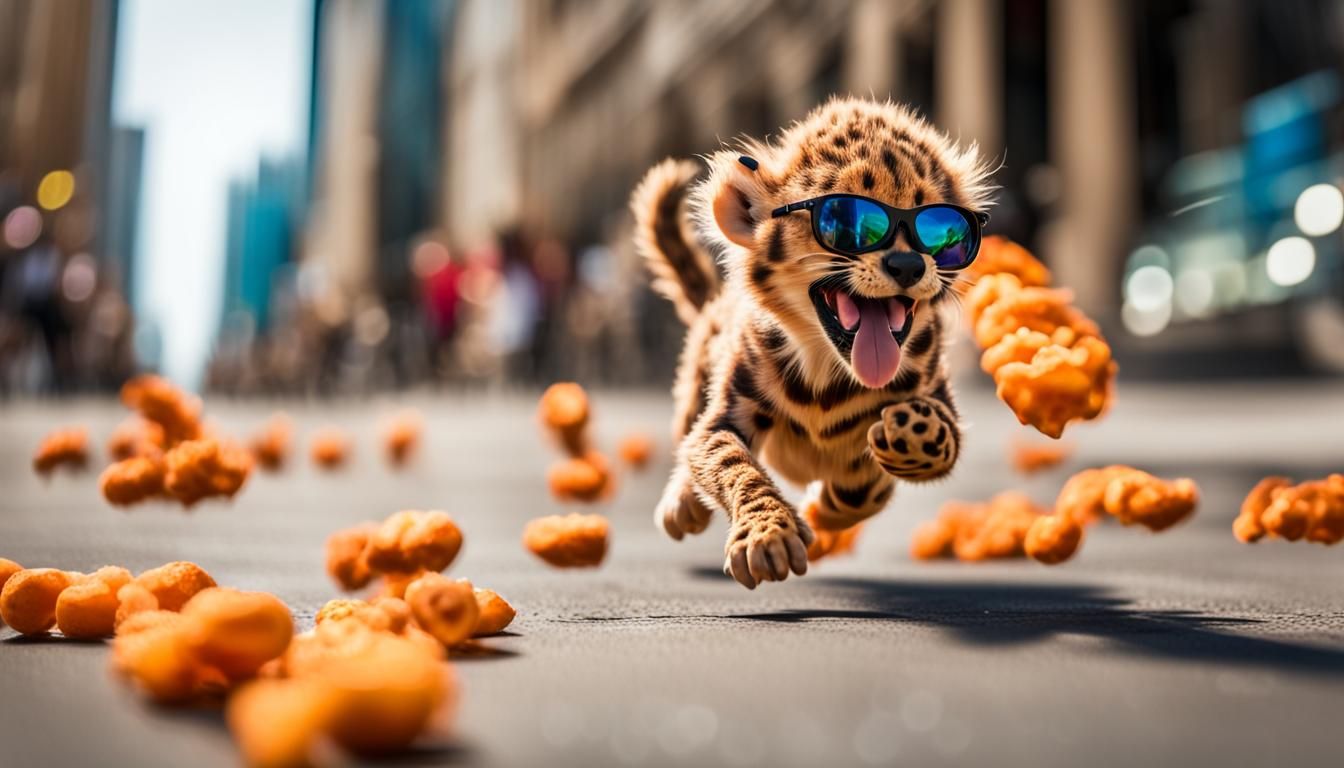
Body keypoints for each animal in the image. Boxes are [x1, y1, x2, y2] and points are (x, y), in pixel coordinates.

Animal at [630, 97, 996, 589]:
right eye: (845, 222)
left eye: (939, 231)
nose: (907, 265)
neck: (826, 366)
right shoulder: (725, 412)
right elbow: (727, 460)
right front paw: (768, 533)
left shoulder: (934, 391)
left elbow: (933, 441)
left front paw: (901, 438)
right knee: (689, 441)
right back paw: (682, 502)